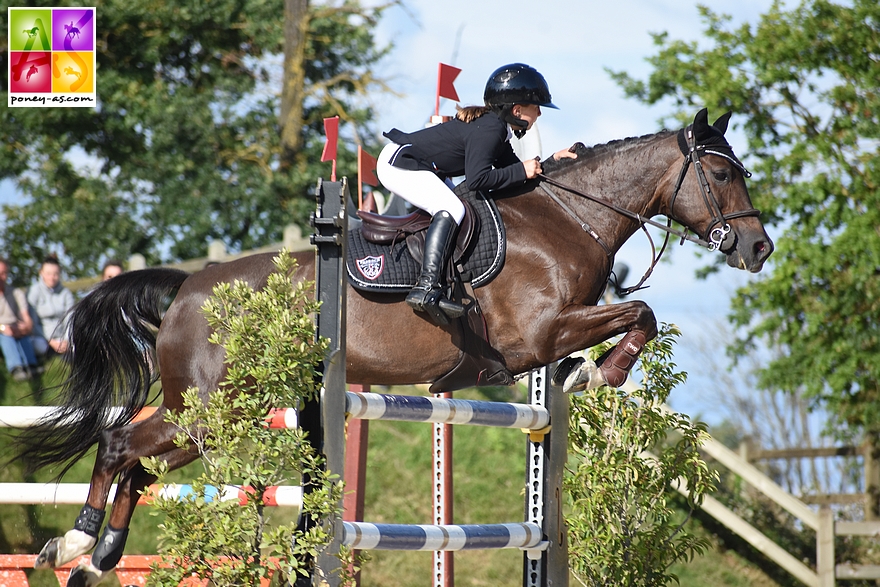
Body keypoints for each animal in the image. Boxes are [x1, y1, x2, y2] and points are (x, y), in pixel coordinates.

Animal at [15, 108, 768, 584]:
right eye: (721, 175)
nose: (758, 248)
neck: (569, 217)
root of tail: (187, 286)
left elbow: (639, 313)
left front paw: (588, 373)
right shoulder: (536, 337)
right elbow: (640, 310)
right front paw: (598, 373)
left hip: (218, 412)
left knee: (141, 463)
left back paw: (99, 555)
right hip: (211, 406)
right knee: (120, 445)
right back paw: (77, 539)